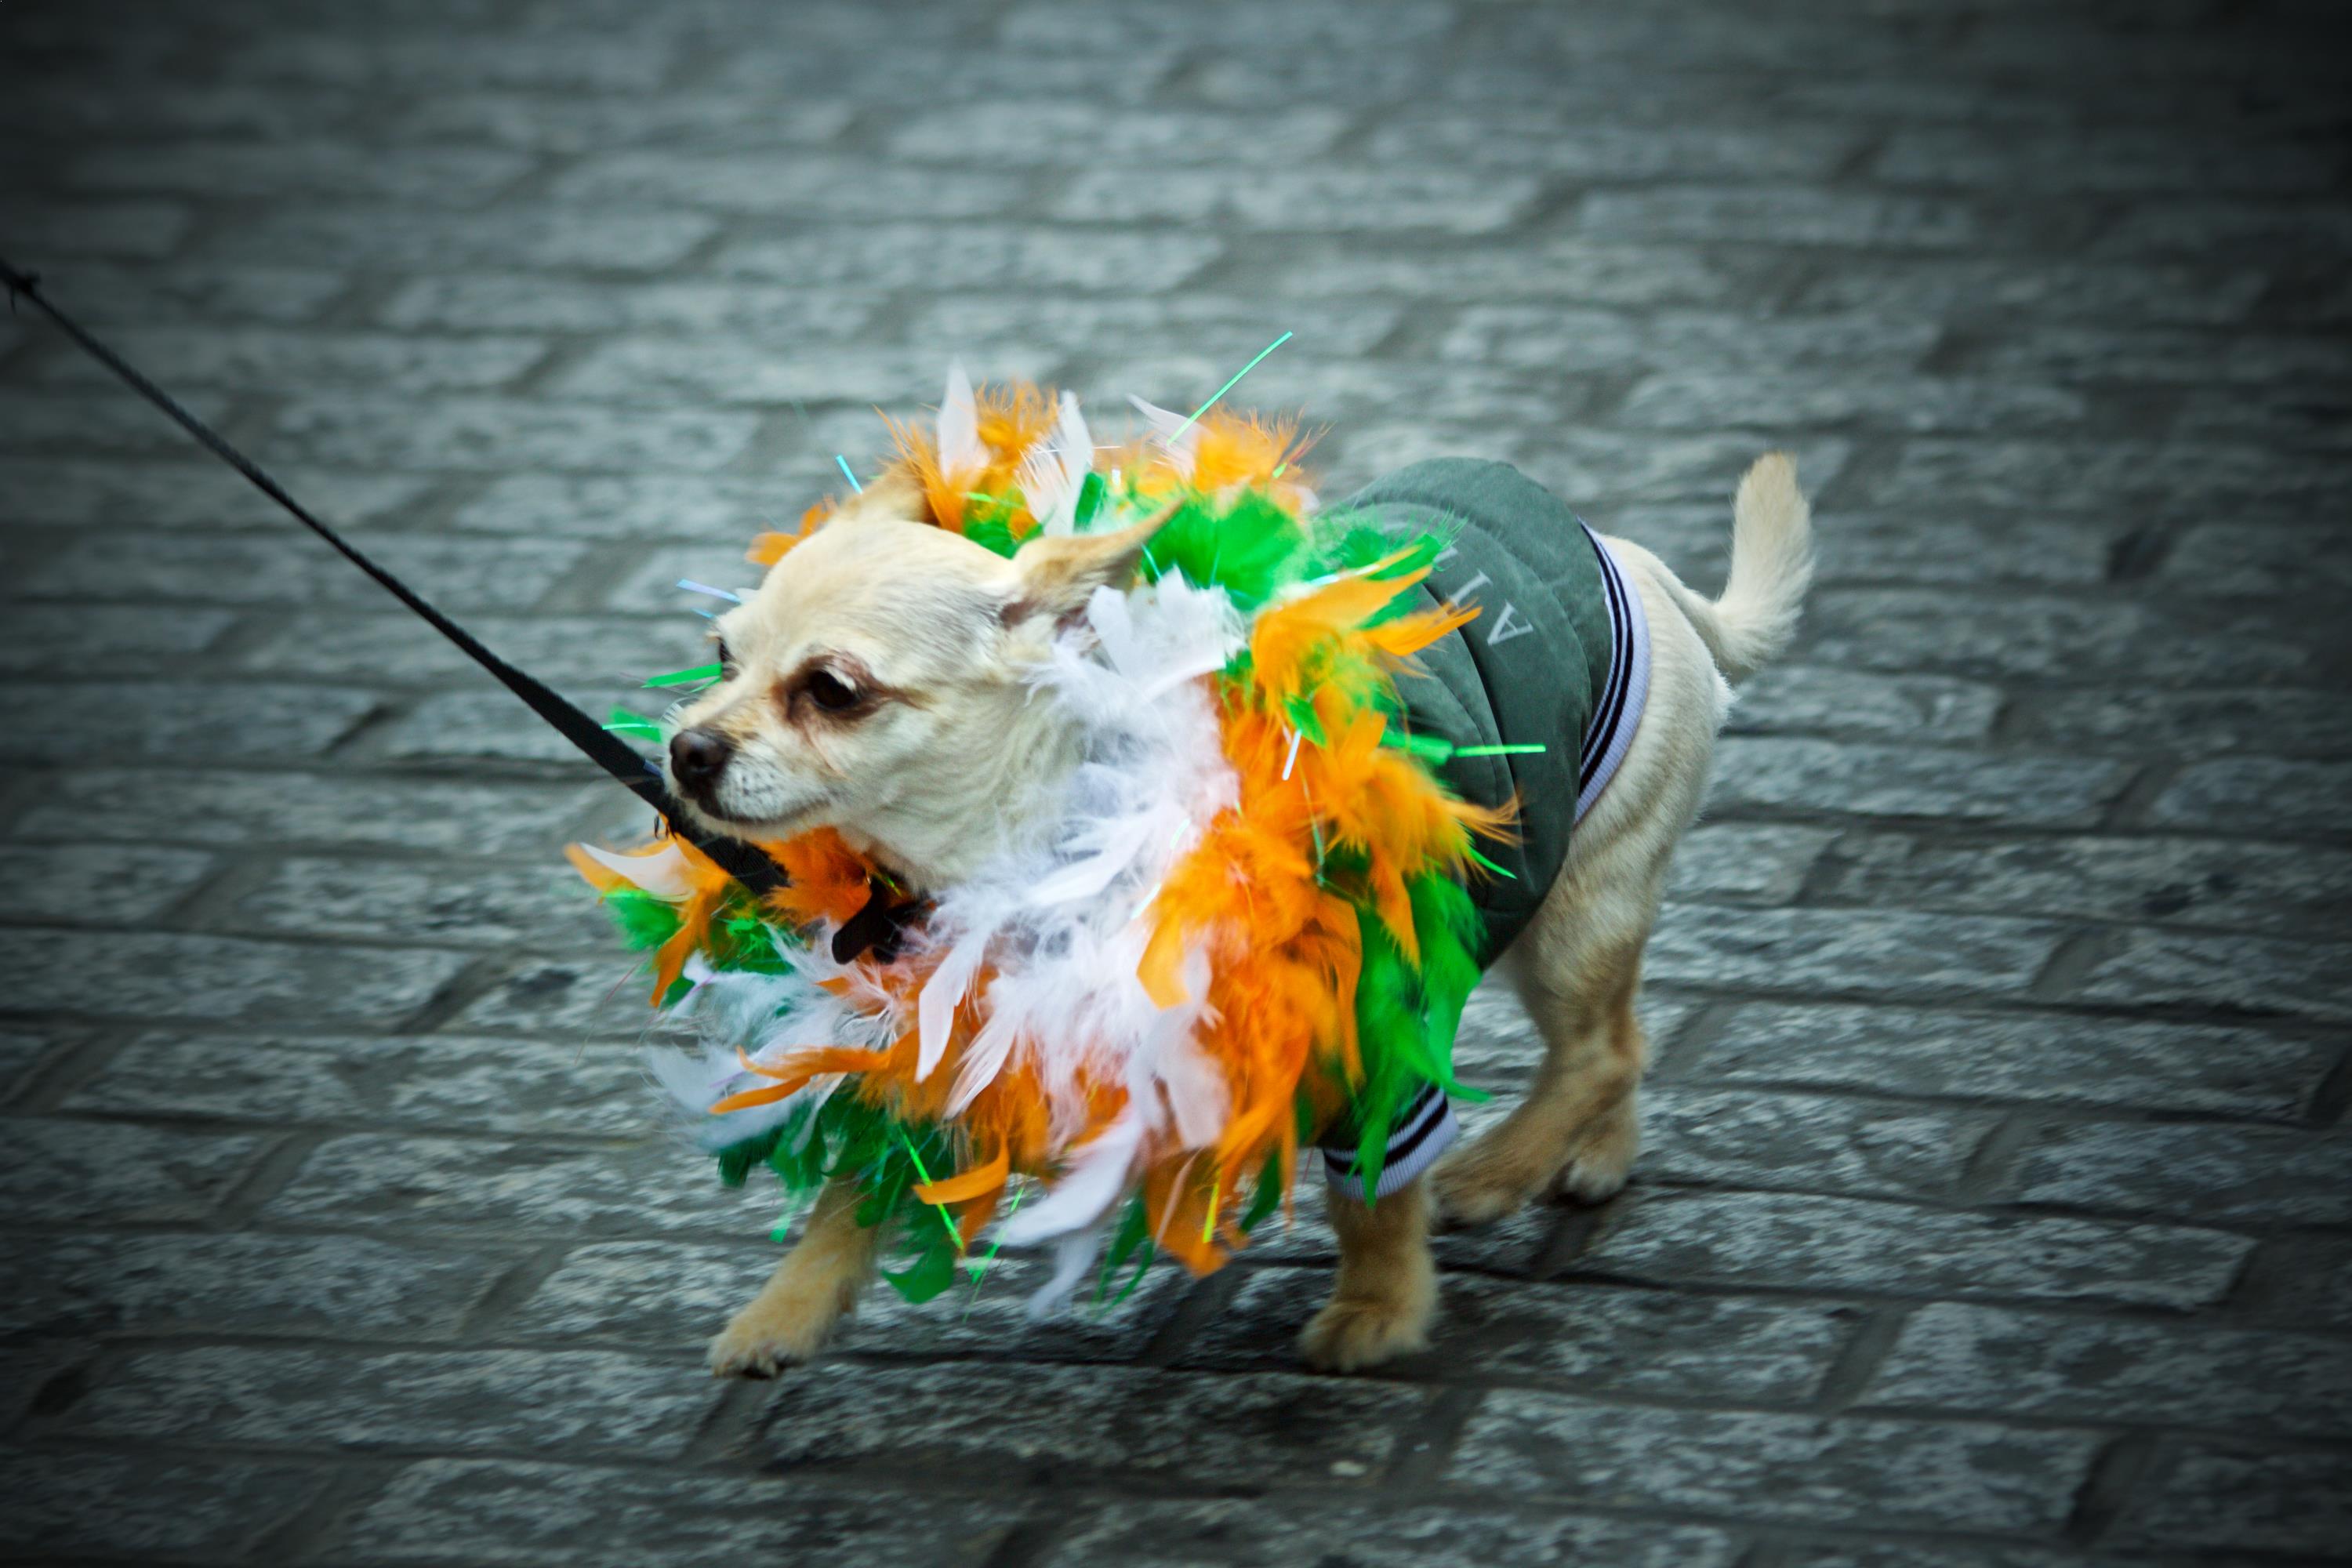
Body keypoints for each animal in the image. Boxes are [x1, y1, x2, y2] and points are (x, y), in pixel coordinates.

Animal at [663, 451, 1816, 1373]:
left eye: (833, 689)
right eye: (720, 656)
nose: (685, 747)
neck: (1026, 843)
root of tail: (1649, 573)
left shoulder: (1361, 1014)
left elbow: (1373, 1193)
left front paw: (1380, 1309)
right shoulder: (955, 1029)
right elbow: (847, 1200)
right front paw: (783, 1315)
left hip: (1574, 908)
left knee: (1600, 1048)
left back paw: (1501, 1169)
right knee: (1624, 1033)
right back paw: (1593, 1155)